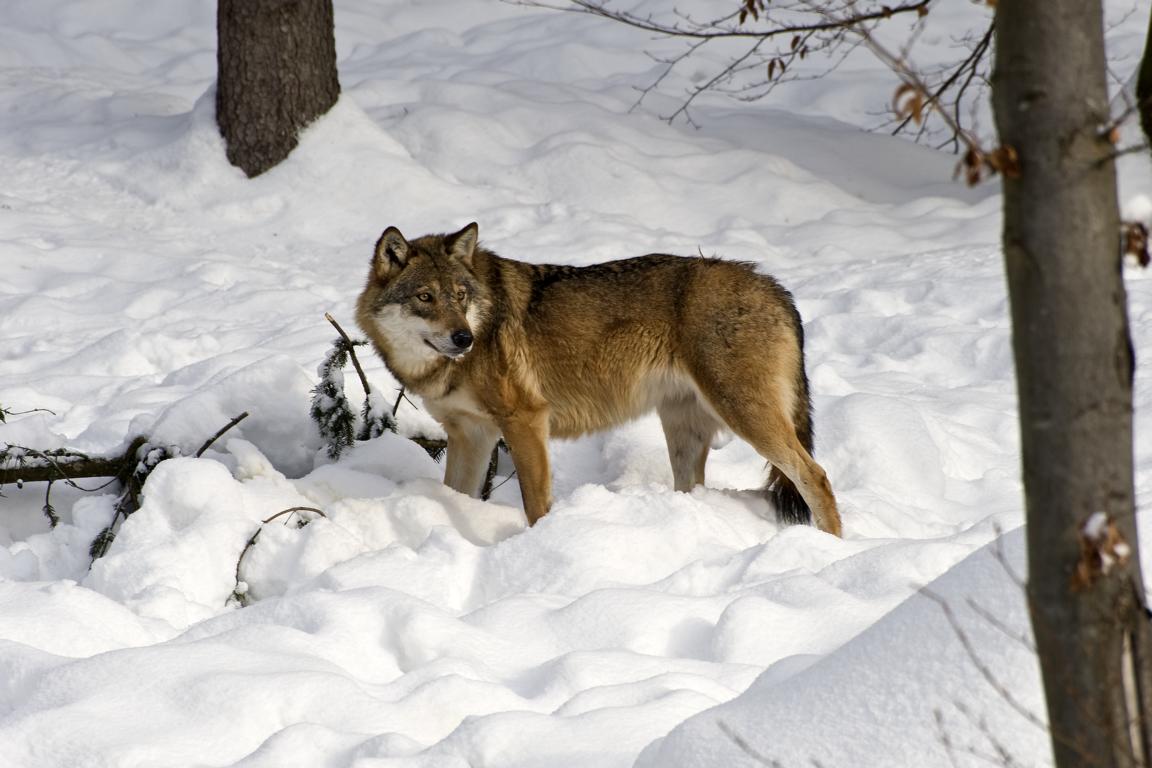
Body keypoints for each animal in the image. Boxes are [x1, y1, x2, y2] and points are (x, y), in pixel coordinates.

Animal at [354, 221, 843, 534]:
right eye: (425, 297)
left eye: (459, 296)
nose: (464, 338)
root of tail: (775, 286)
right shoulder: (471, 436)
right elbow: (459, 495)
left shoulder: (526, 421)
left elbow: (536, 504)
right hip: (684, 431)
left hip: (744, 415)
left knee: (816, 477)